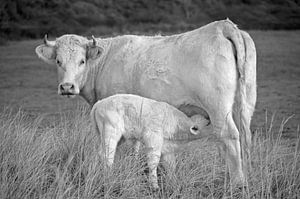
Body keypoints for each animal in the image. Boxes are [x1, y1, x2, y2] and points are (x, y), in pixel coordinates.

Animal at [34, 19, 255, 186]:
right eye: (58, 61)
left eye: (81, 61)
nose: (67, 87)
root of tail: (222, 26)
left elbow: (133, 147)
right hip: (244, 103)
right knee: (241, 136)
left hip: (217, 107)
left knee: (229, 135)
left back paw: (238, 183)